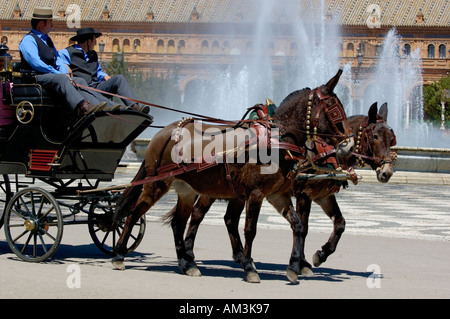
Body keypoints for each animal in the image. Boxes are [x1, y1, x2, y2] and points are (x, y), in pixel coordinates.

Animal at [110, 69, 354, 284]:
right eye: (334, 108)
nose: (349, 144)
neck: (276, 140)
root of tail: (164, 131)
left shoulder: (279, 195)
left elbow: (299, 226)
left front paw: (295, 266)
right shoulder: (258, 194)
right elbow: (250, 230)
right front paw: (250, 267)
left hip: (187, 190)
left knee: (179, 223)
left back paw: (188, 264)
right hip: (157, 185)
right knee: (133, 214)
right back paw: (119, 255)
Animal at [163, 102, 396, 280]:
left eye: (391, 138)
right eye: (375, 136)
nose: (387, 172)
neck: (324, 152)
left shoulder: (323, 196)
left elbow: (340, 223)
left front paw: (321, 254)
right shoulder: (305, 195)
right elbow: (305, 227)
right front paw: (302, 263)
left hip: (236, 193)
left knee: (229, 218)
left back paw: (238, 255)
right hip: (212, 189)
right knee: (197, 215)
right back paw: (190, 253)